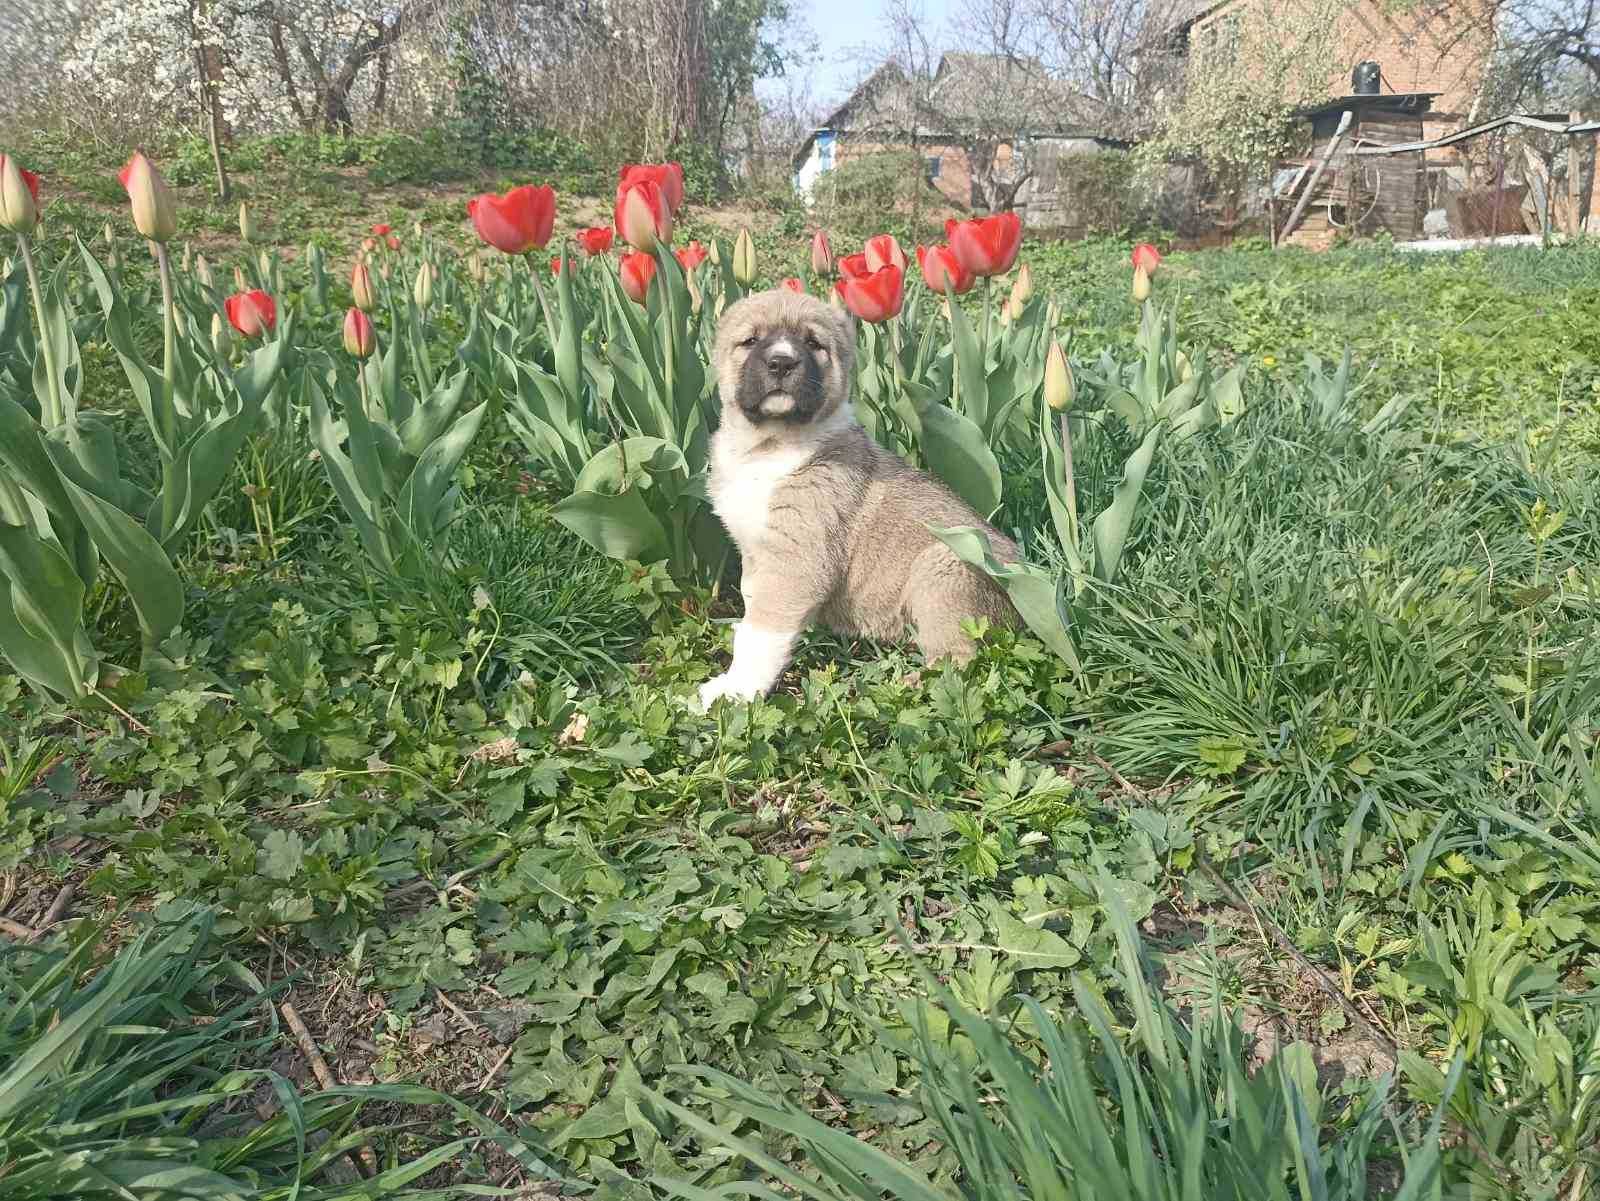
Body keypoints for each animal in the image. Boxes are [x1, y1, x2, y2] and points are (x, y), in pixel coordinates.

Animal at [697, 286, 1017, 710]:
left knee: (960, 660)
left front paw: (735, 690)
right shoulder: (756, 551)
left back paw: (909, 686)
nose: (782, 362)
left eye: (813, 344)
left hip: (944, 567)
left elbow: (763, 632)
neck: (767, 447)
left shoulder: (796, 560)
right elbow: (752, 608)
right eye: (750, 340)